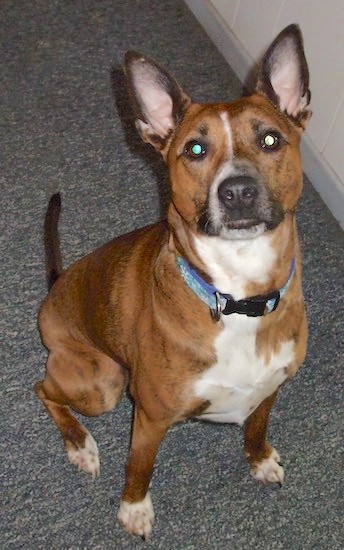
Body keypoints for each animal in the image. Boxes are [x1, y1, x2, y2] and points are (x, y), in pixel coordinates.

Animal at [35, 24, 312, 540]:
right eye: (195, 150)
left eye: (270, 139)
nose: (237, 191)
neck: (238, 295)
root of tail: (55, 287)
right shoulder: (149, 417)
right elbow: (139, 469)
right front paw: (134, 510)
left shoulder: (271, 389)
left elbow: (257, 427)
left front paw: (259, 459)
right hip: (105, 381)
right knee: (43, 390)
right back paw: (80, 445)